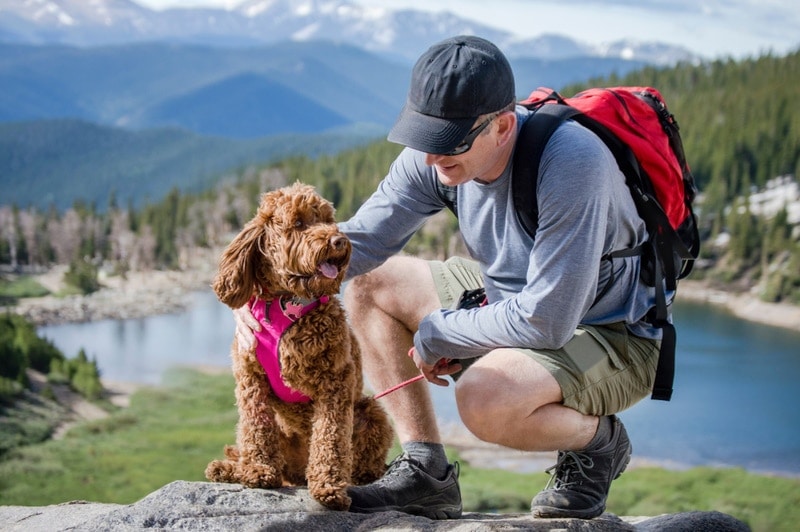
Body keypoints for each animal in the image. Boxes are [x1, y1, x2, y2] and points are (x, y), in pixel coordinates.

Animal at [206, 183, 394, 512]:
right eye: (298, 223)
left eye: (328, 220)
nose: (339, 240)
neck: (286, 303)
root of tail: (296, 473)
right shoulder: (250, 379)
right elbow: (255, 428)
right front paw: (258, 469)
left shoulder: (335, 383)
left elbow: (330, 437)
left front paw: (329, 486)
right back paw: (229, 469)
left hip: (370, 413)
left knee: (363, 466)